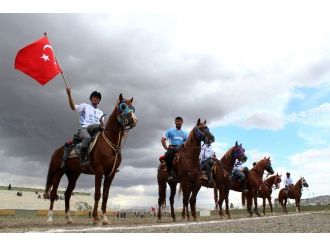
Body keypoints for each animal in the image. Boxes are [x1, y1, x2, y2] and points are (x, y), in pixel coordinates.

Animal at [43, 93, 137, 225]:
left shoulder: (111, 173)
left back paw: (69, 218)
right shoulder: (99, 171)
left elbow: (106, 195)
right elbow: (97, 194)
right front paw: (95, 218)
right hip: (58, 173)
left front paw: (105, 218)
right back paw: (50, 218)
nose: (134, 119)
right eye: (123, 106)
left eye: (132, 107)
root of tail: (58, 150)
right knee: (53, 193)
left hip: (73, 175)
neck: (110, 145)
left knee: (67, 194)